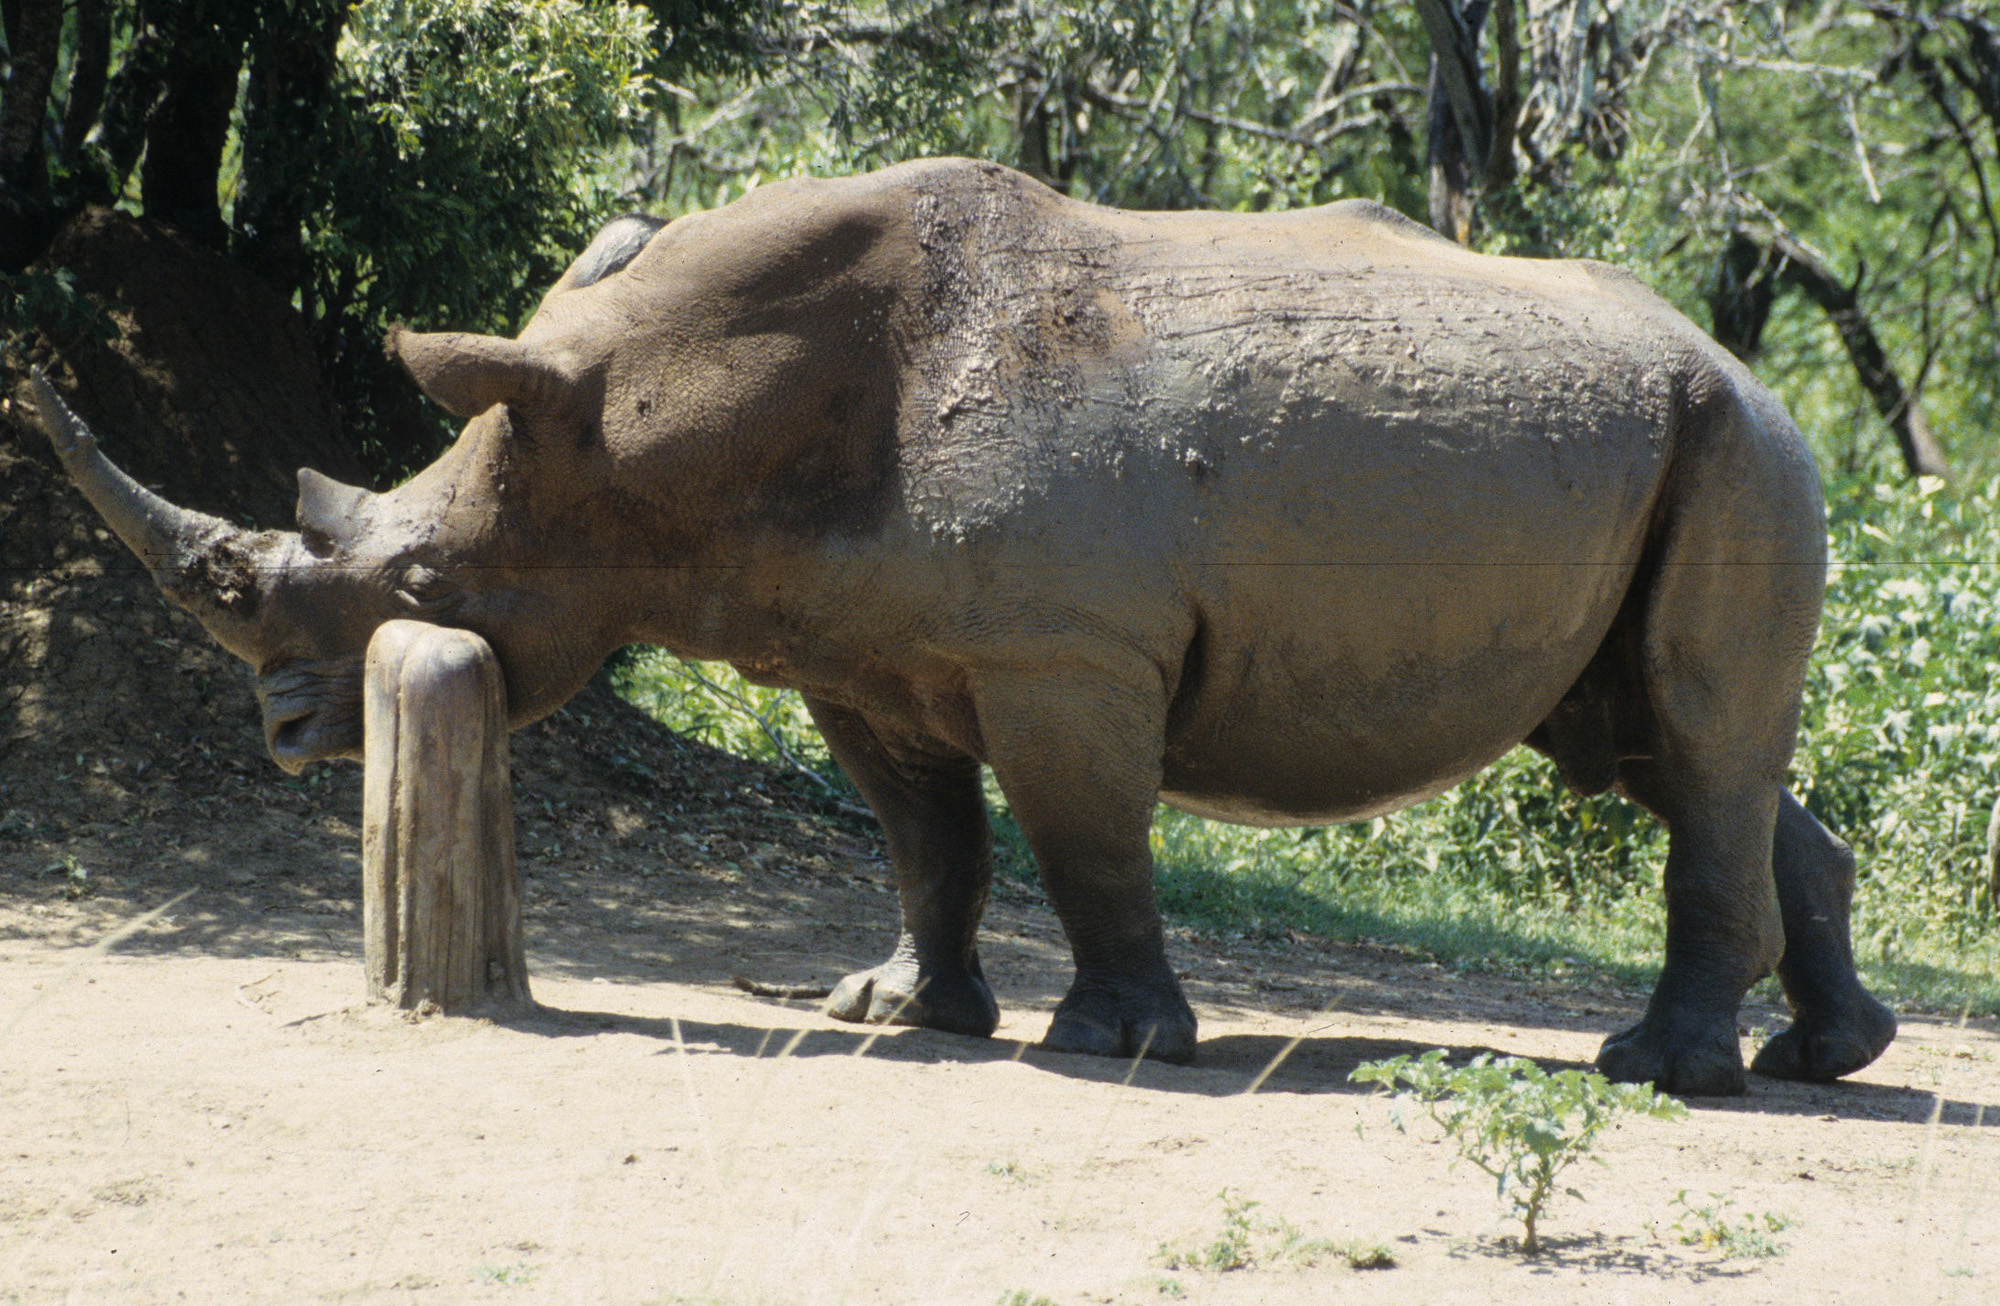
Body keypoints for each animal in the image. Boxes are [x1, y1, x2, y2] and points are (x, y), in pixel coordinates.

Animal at [24, 157, 1896, 1096]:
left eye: (418, 596)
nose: (285, 734)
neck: (649, 420)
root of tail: (1739, 362)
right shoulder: (860, 651)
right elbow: (926, 838)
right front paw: (894, 1013)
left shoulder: (1066, 652)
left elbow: (1084, 840)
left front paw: (1115, 1046)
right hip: (1662, 445)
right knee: (1648, 741)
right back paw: (1829, 1055)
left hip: (1736, 446)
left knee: (1694, 742)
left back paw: (1663, 1072)